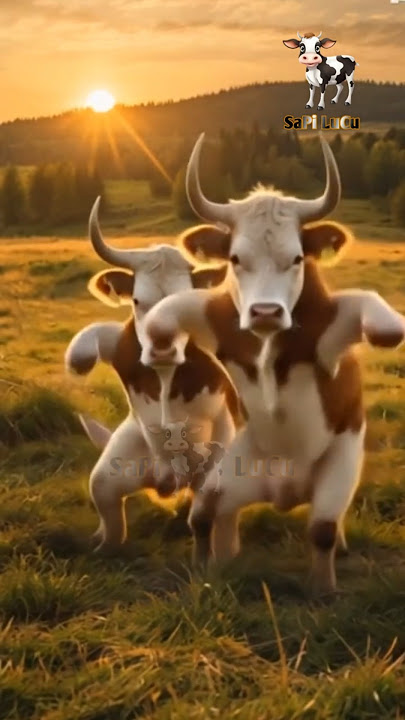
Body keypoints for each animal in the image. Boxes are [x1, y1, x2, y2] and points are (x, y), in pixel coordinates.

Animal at [65, 199, 244, 559]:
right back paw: (99, 545)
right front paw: (79, 358)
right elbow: (100, 332)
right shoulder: (121, 346)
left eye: (182, 302)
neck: (164, 374)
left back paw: (224, 556)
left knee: (215, 519)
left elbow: (201, 522)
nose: (161, 347)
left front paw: (205, 562)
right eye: (137, 300)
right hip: (120, 464)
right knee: (107, 508)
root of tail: (169, 480)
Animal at [138, 133, 405, 595]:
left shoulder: (333, 333)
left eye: (296, 258)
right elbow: (167, 311)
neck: (267, 348)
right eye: (235, 259)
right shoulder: (215, 319)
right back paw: (215, 561)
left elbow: (378, 314)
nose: (264, 311)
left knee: (324, 525)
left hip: (340, 465)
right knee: (205, 513)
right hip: (235, 470)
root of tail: (286, 492)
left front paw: (323, 591)